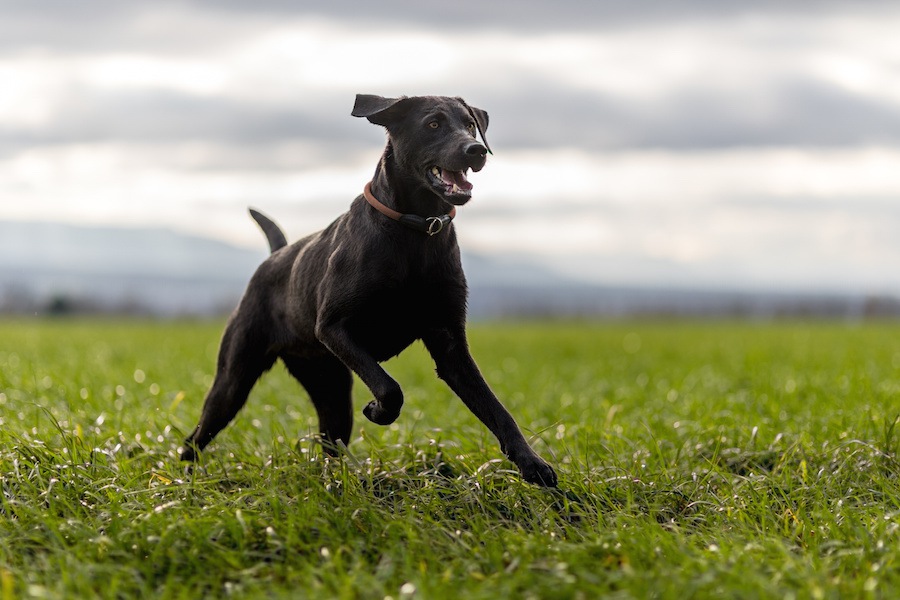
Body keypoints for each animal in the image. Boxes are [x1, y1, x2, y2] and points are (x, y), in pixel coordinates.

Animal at [180, 95, 560, 488]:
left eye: (470, 125)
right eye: (433, 124)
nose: (476, 150)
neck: (416, 230)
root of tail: (276, 257)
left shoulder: (451, 347)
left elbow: (497, 409)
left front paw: (533, 464)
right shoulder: (334, 327)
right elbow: (390, 388)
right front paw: (378, 410)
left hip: (330, 386)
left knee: (330, 443)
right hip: (234, 379)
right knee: (196, 437)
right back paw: (187, 479)